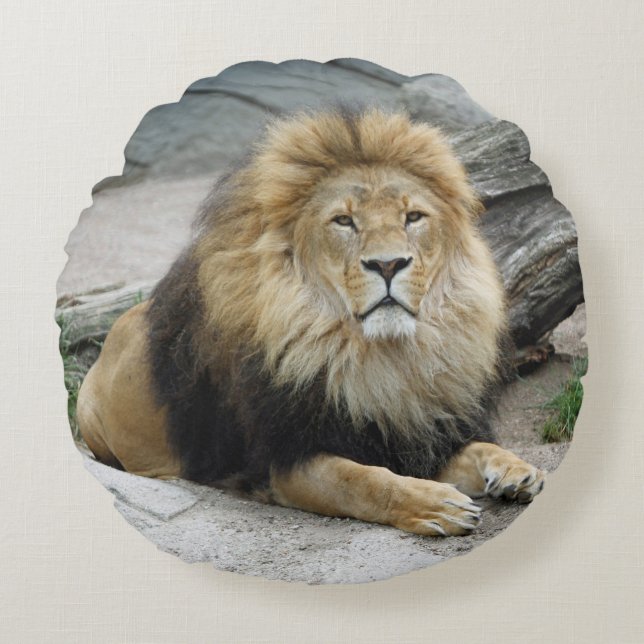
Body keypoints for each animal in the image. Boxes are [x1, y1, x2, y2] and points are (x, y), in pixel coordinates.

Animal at [77, 107, 545, 537]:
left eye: (413, 217)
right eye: (344, 221)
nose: (388, 264)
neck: (384, 358)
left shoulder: (415, 433)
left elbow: (480, 447)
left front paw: (516, 470)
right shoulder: (284, 461)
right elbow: (364, 480)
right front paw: (436, 504)